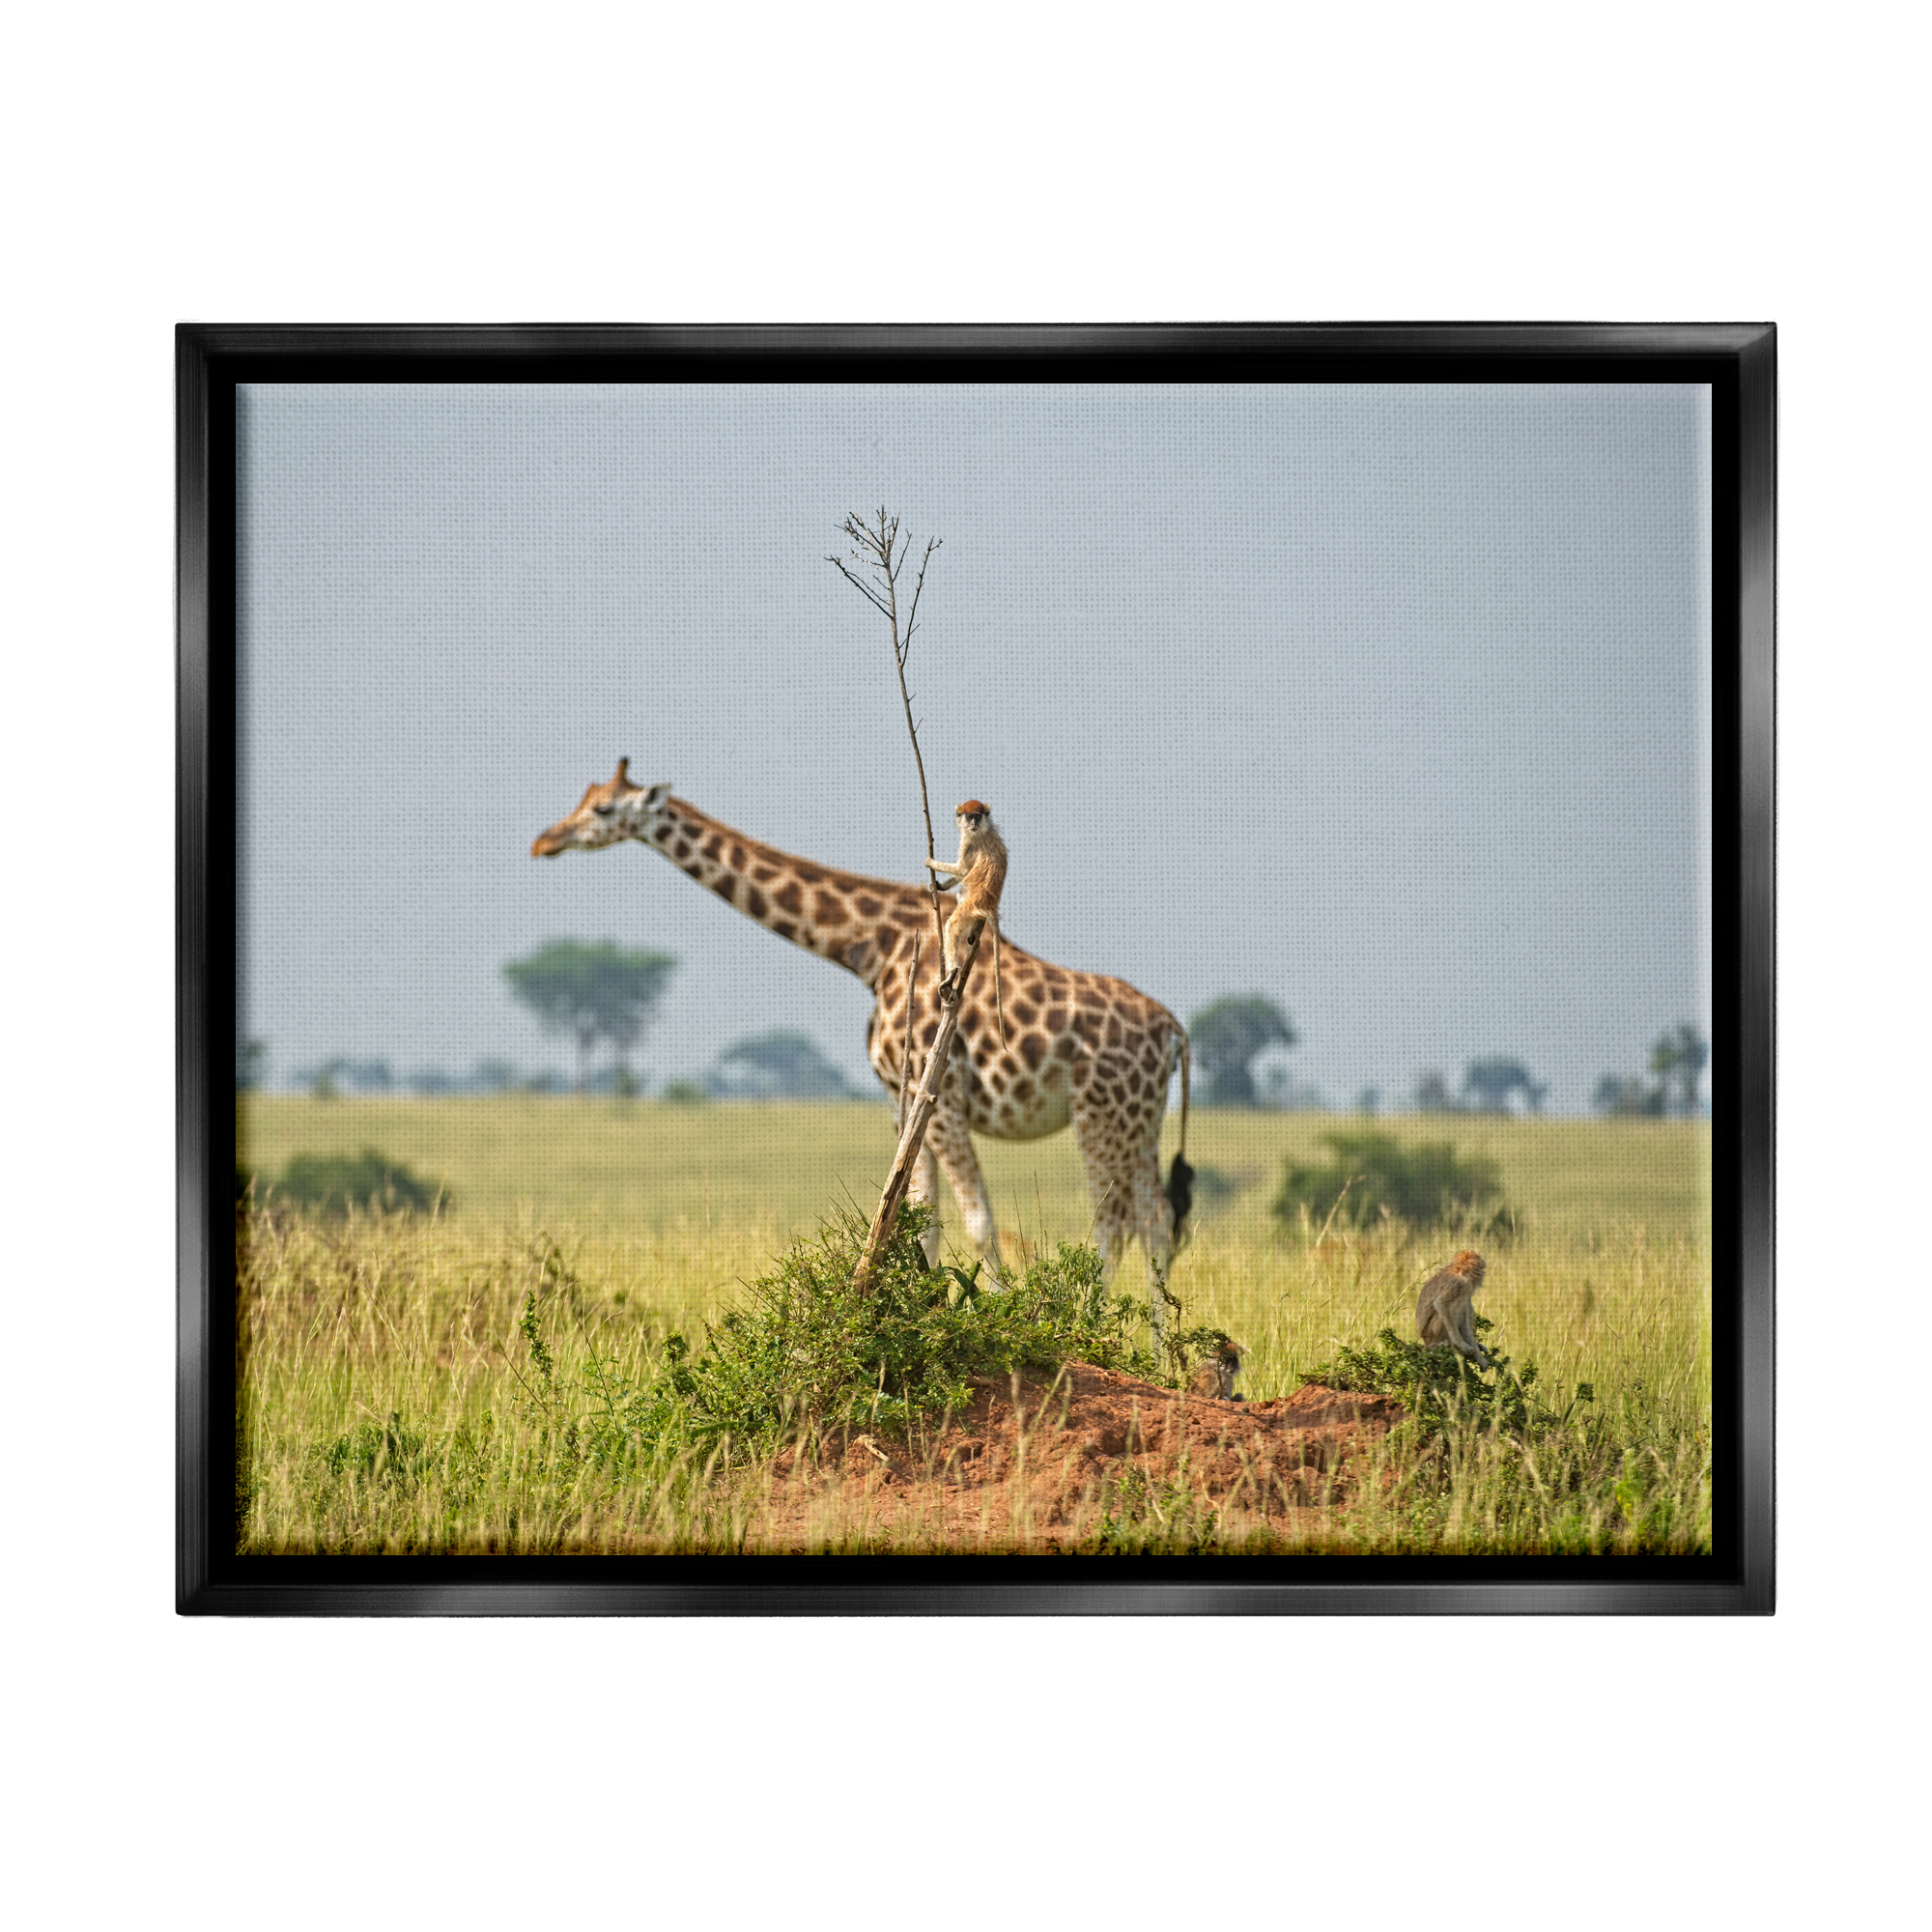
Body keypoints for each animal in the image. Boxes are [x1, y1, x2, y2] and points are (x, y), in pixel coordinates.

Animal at [924, 798, 1008, 1043]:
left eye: (977, 816)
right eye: (969, 816)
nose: (972, 823)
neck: (984, 829)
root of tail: (988, 904)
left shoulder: (970, 844)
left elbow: (962, 869)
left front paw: (931, 862)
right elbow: (962, 874)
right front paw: (938, 886)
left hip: (969, 907)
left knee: (952, 925)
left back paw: (951, 973)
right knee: (962, 893)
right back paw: (974, 932)